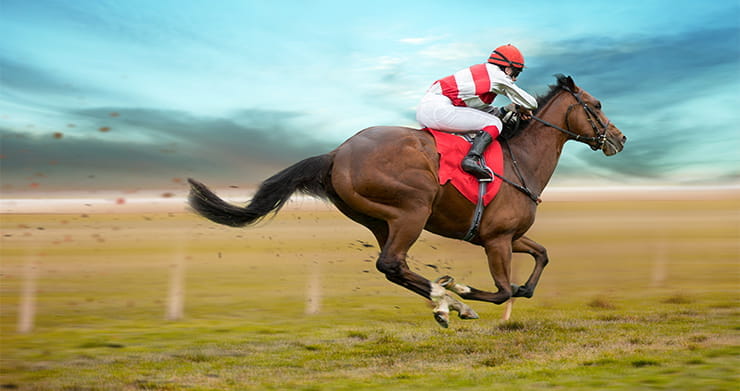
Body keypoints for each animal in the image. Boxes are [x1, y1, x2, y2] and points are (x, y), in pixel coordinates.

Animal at [188, 73, 628, 328]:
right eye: (597, 105)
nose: (620, 138)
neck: (523, 160)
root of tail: (336, 152)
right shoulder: (497, 240)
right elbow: (503, 290)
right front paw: (465, 292)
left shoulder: (507, 236)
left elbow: (540, 259)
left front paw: (482, 294)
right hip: (412, 211)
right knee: (392, 263)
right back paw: (449, 301)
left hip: (379, 220)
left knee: (393, 267)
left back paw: (444, 302)